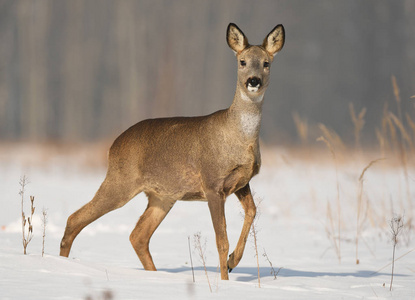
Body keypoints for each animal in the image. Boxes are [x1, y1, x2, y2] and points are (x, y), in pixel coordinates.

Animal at [59, 22, 286, 280]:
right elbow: (221, 240)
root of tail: (113, 145)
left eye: (266, 63)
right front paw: (225, 278)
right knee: (75, 218)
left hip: (162, 195)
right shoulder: (212, 183)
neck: (238, 136)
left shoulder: (241, 181)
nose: (253, 81)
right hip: (121, 181)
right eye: (242, 61)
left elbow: (252, 211)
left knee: (138, 235)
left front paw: (232, 261)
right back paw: (62, 263)